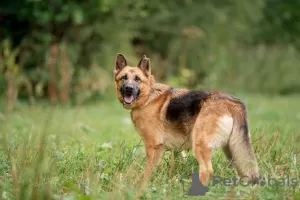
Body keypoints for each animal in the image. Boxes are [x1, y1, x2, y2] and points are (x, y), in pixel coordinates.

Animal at [113, 53, 258, 186]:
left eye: (137, 79)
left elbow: (148, 170)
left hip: (201, 146)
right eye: (124, 77)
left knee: (207, 171)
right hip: (232, 150)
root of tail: (231, 101)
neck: (148, 97)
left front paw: (142, 185)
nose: (129, 89)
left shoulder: (153, 146)